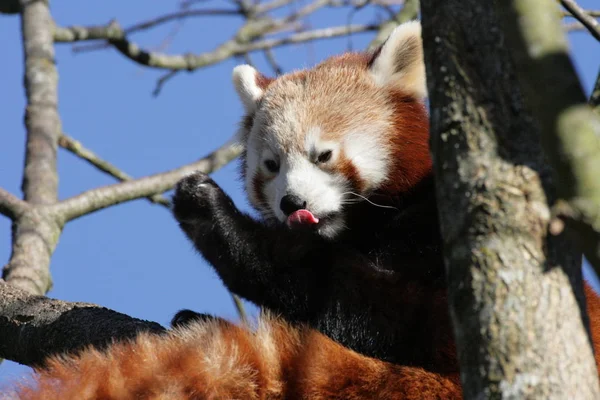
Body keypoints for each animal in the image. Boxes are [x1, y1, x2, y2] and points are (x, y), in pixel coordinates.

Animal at [8, 21, 600, 400]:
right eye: (271, 164)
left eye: (323, 155)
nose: (292, 202)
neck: (366, 224)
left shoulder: (439, 224)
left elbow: (370, 307)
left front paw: (220, 223)